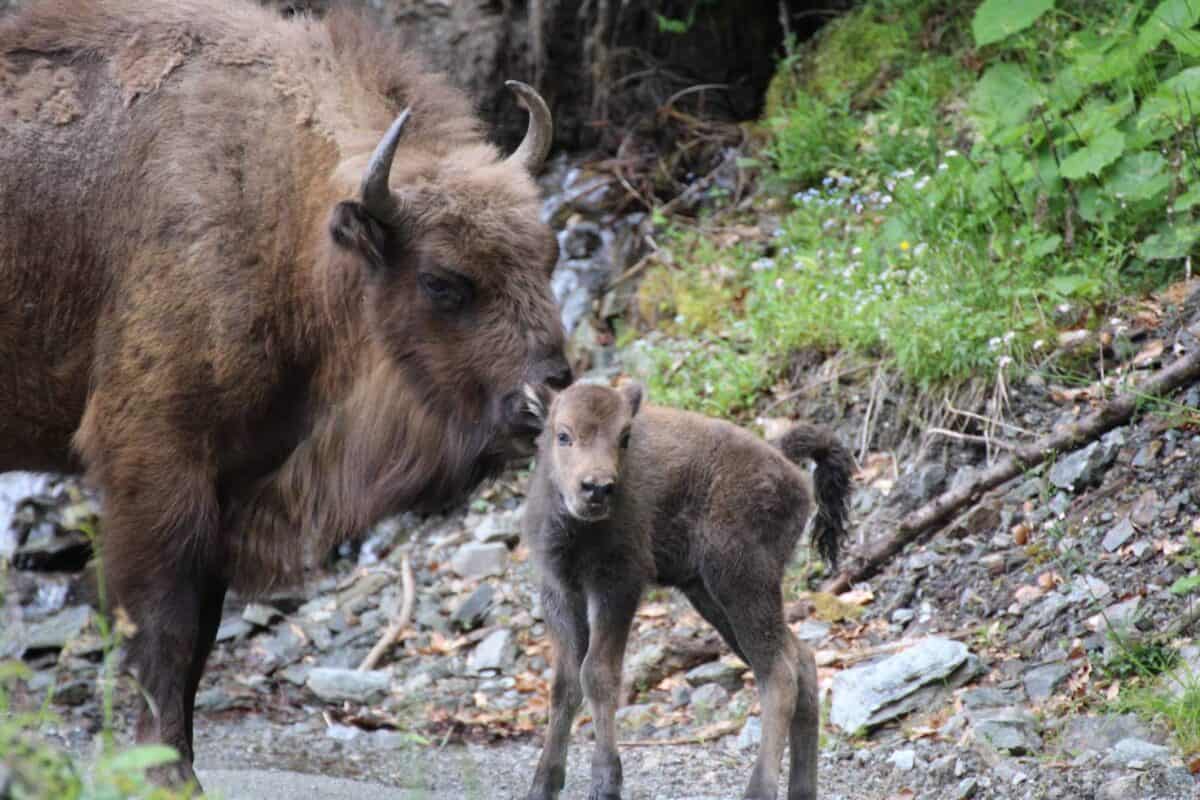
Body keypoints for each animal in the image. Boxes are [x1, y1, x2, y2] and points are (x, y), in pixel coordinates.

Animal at [0, 0, 571, 786]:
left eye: (549, 255)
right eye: (442, 281)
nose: (550, 392)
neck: (285, 213)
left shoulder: (230, 484)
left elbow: (199, 638)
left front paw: (180, 763)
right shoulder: (158, 465)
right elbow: (163, 627)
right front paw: (164, 774)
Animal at [525, 381, 854, 800]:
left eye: (625, 436)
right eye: (562, 434)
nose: (597, 488)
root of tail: (782, 460)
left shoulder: (617, 587)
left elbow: (597, 674)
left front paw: (606, 782)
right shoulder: (560, 593)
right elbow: (564, 685)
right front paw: (543, 783)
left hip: (741, 583)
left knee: (779, 674)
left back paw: (758, 790)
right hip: (712, 598)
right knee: (801, 659)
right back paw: (800, 790)